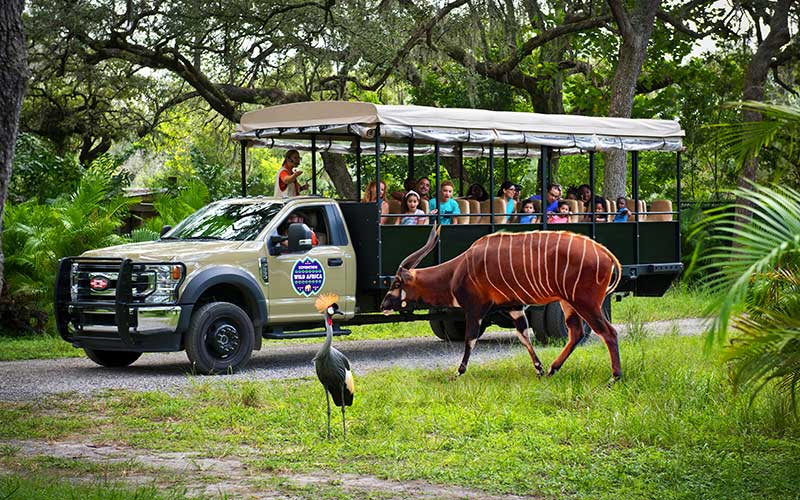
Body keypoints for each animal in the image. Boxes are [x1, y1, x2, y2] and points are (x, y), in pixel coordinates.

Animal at [382, 227, 624, 378]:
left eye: (396, 282)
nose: (383, 305)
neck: (458, 270)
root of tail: (607, 255)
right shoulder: (514, 307)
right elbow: (524, 335)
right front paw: (539, 369)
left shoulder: (475, 309)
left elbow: (470, 340)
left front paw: (458, 372)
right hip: (568, 302)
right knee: (576, 332)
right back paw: (553, 369)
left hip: (585, 302)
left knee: (608, 332)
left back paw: (614, 378)